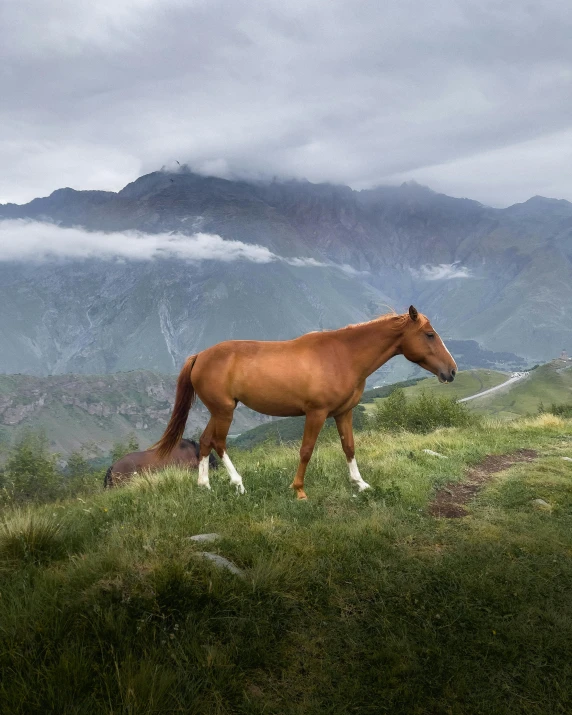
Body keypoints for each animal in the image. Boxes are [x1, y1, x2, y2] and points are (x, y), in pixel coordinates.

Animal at [154, 306, 458, 498]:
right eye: (429, 335)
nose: (452, 371)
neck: (343, 355)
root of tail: (200, 356)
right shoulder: (316, 413)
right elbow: (306, 450)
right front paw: (299, 489)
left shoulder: (343, 413)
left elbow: (349, 447)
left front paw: (360, 484)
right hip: (224, 411)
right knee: (218, 442)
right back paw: (238, 485)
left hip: (218, 411)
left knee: (205, 441)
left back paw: (204, 485)